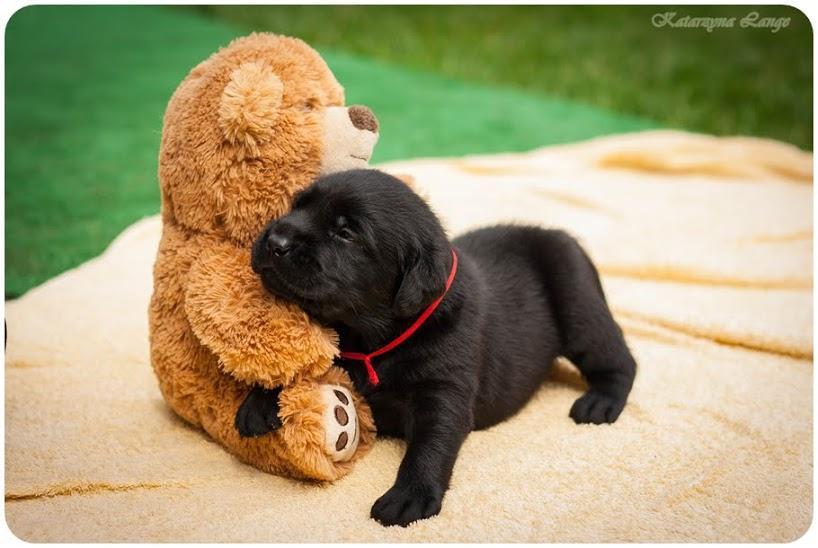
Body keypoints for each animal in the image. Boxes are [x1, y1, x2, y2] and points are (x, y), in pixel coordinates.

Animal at [239, 168, 636, 528]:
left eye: (346, 232)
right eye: (297, 205)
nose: (275, 240)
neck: (371, 337)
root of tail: (560, 235)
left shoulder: (444, 388)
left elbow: (431, 444)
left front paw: (409, 496)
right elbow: (302, 360)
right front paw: (259, 401)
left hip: (577, 300)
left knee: (619, 358)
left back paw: (600, 402)